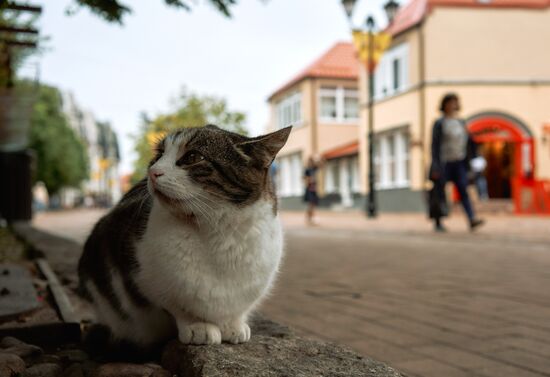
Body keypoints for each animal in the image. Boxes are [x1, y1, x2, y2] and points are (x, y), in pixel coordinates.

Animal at [78, 125, 294, 346]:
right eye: (159, 154)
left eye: (193, 157)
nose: (152, 172)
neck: (218, 231)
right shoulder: (143, 278)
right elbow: (178, 307)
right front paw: (198, 326)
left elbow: (236, 311)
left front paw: (233, 326)